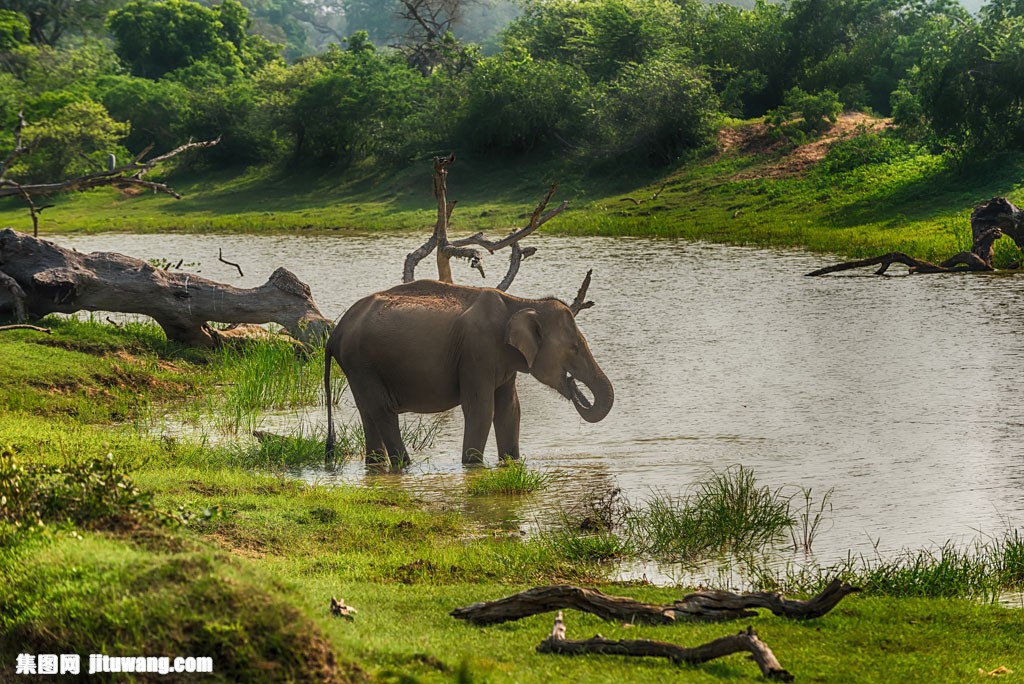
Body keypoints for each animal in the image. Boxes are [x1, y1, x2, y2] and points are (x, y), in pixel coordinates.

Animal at [323, 280, 614, 467]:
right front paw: (472, 465)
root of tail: (336, 331)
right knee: (383, 409)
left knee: (368, 411)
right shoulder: (477, 351)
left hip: (357, 366)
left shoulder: (505, 359)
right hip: (362, 361)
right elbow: (481, 408)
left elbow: (510, 409)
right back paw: (404, 464)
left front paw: (510, 462)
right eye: (574, 348)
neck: (520, 302)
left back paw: (377, 466)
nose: (575, 388)